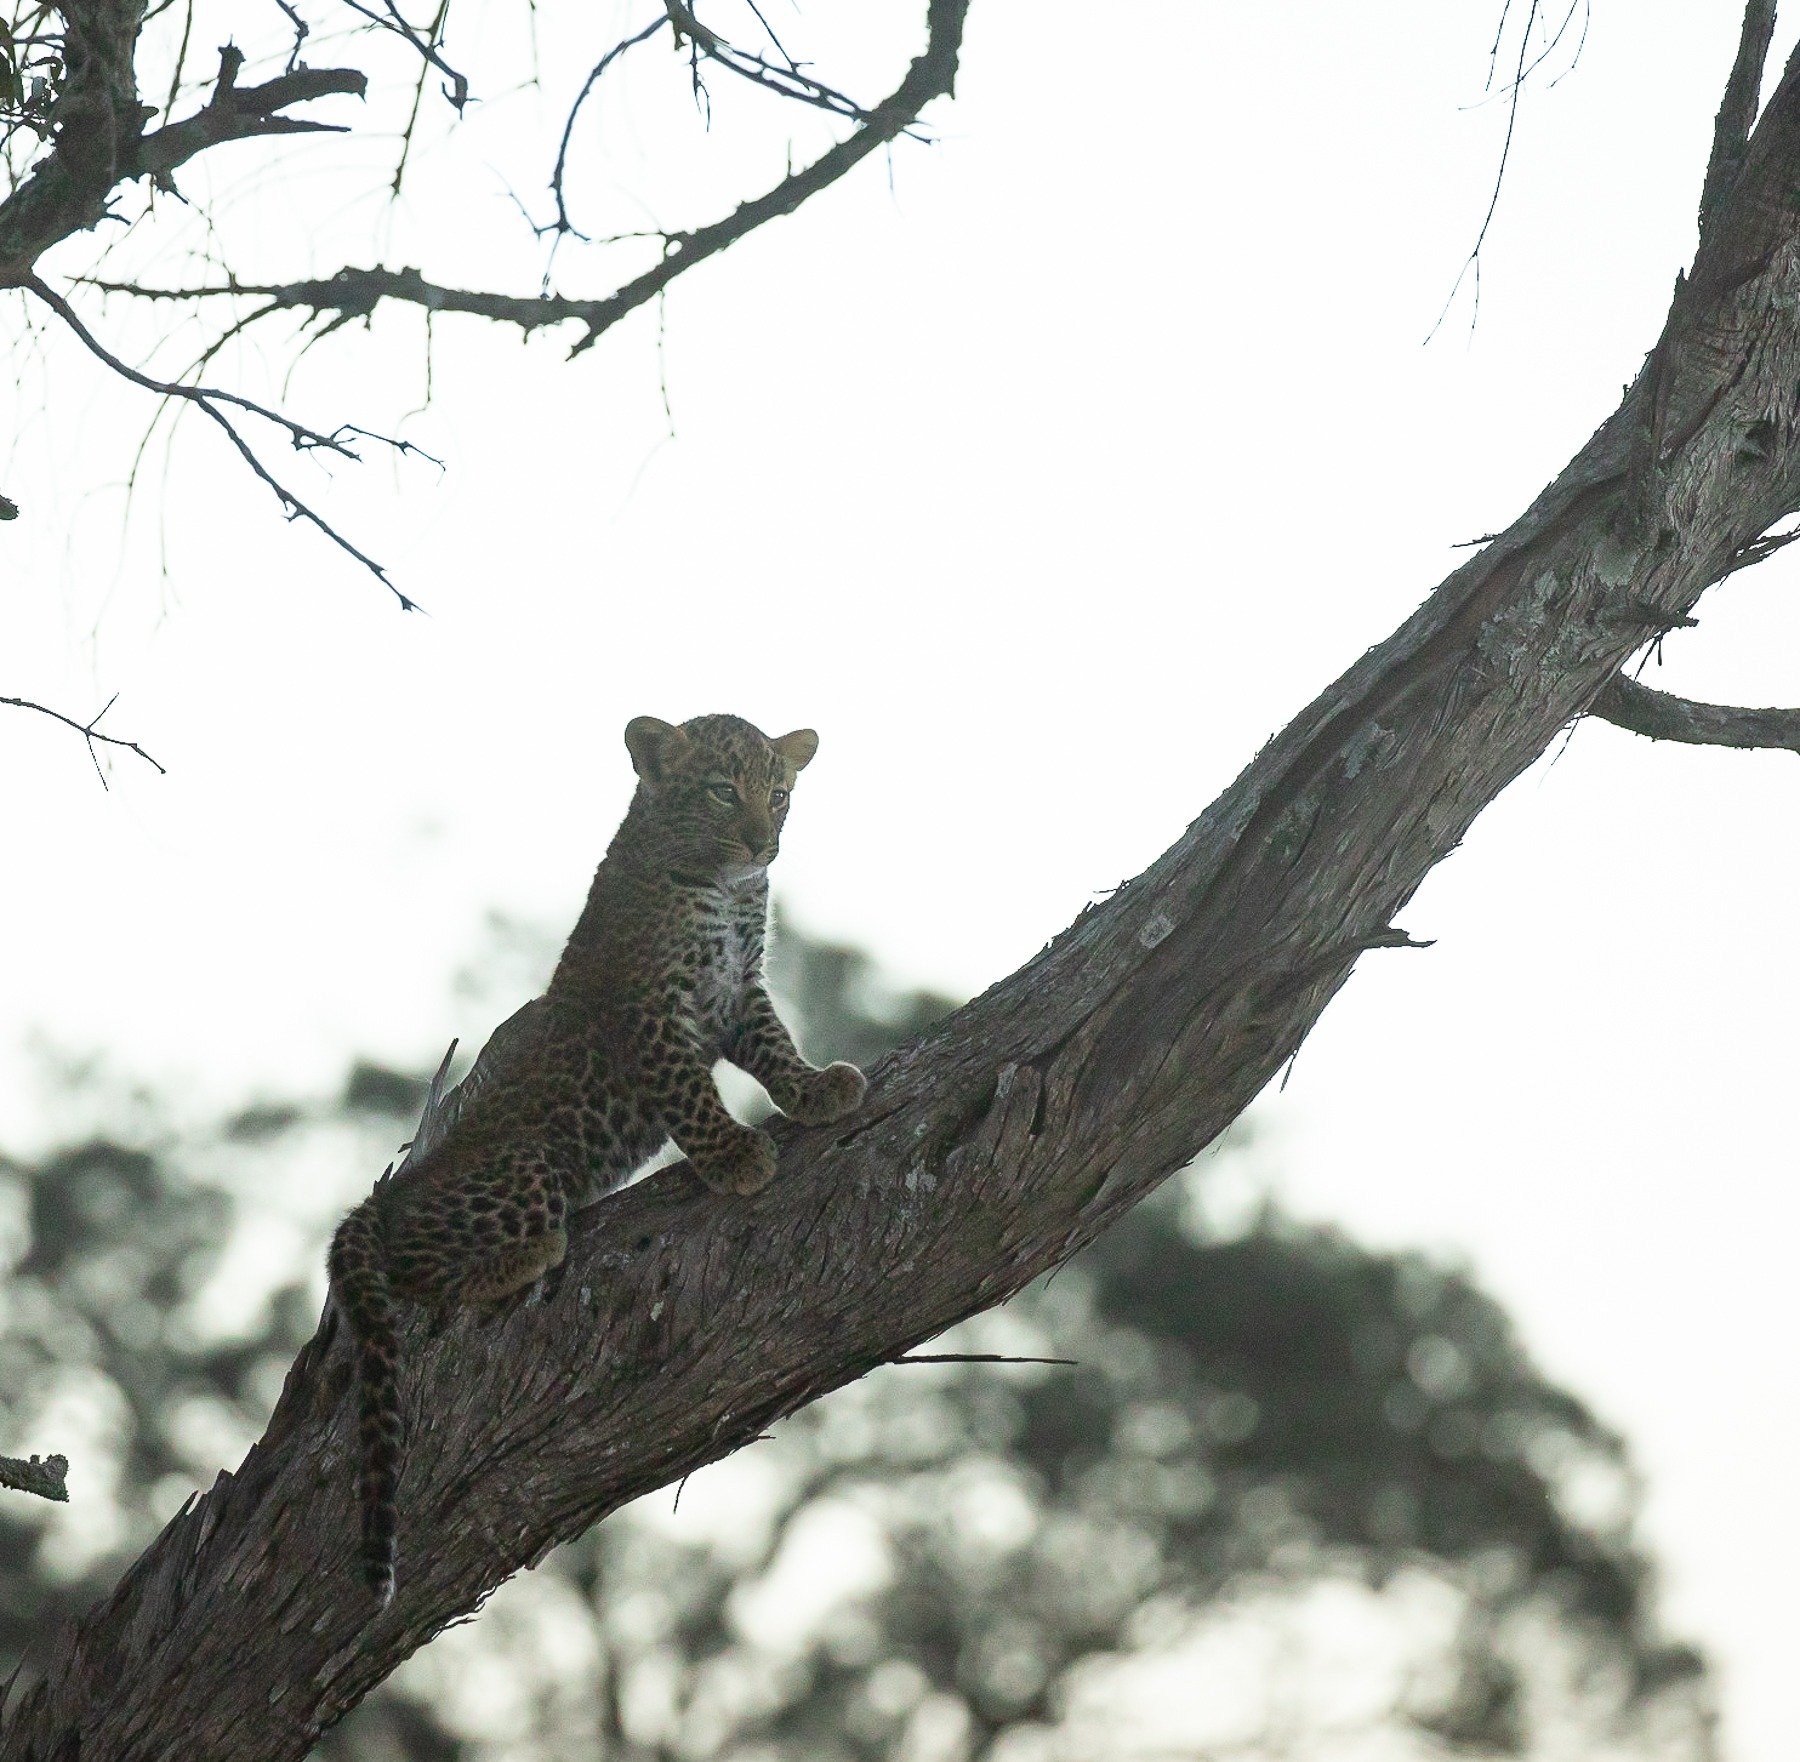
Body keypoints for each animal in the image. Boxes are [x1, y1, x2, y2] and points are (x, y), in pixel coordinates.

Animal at [327, 713, 867, 1605]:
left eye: (780, 794)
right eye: (722, 792)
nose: (765, 844)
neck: (725, 889)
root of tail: (380, 1201)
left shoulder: (739, 992)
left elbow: (776, 1046)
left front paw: (819, 1088)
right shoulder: (653, 1014)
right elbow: (690, 1095)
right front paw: (735, 1156)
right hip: (523, 1166)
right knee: (416, 1268)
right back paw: (529, 1251)